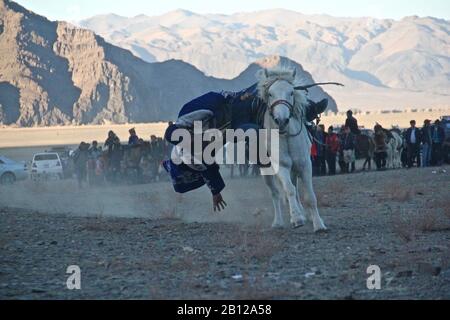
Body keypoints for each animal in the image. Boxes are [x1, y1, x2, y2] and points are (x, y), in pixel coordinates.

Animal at [256, 68, 326, 232]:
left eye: (291, 92)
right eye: (270, 94)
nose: (281, 120)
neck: (286, 136)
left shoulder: (305, 165)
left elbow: (310, 196)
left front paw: (318, 224)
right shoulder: (281, 166)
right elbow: (289, 190)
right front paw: (296, 218)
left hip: (295, 169)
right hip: (266, 172)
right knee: (276, 193)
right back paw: (278, 222)